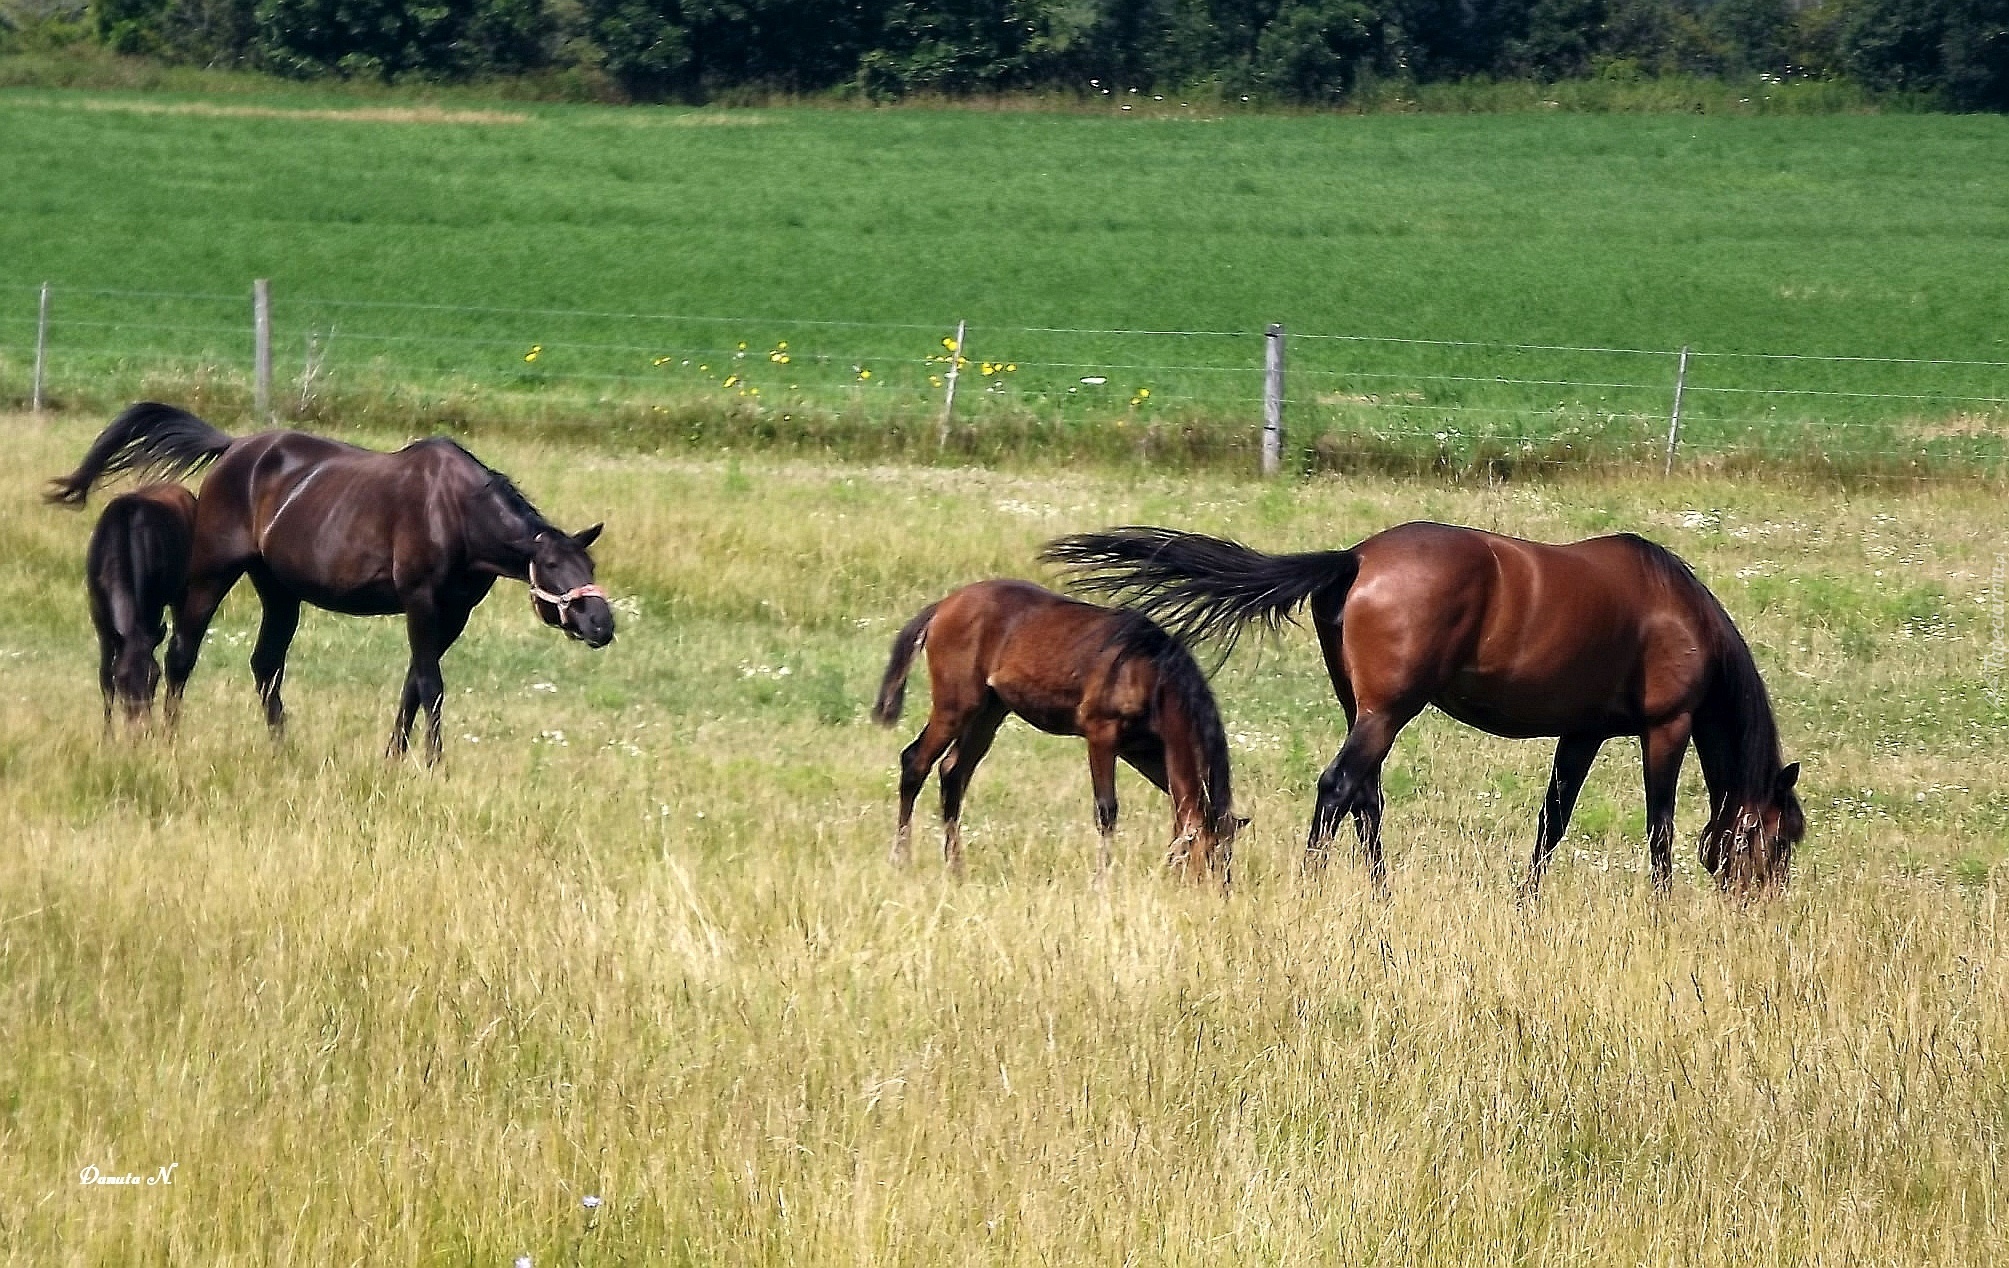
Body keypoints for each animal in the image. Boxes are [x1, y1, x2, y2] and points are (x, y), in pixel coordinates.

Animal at [85, 484, 198, 727]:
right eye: (121, 678)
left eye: (154, 676)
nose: (139, 723)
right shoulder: (99, 616)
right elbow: (105, 677)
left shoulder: (152, 610)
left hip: (182, 594)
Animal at [875, 582, 1237, 888]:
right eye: (1207, 854)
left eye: (1228, 853)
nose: (1219, 892)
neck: (1148, 671)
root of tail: (944, 606)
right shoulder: (1102, 735)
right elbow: (1106, 810)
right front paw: (1101, 882)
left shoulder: (1146, 750)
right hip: (955, 707)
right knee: (915, 763)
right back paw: (901, 860)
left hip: (987, 714)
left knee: (952, 774)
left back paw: (955, 868)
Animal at [1052, 522, 1808, 896]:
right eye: (1782, 840)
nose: (1761, 908)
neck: (1678, 614)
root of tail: (1355, 559)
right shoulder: (1664, 727)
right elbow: (1658, 827)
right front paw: (1660, 907)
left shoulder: (1582, 732)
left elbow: (1553, 821)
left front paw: (1526, 902)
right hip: (1387, 711)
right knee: (1339, 789)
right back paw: (1314, 887)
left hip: (1362, 708)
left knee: (1365, 798)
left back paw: (1380, 897)